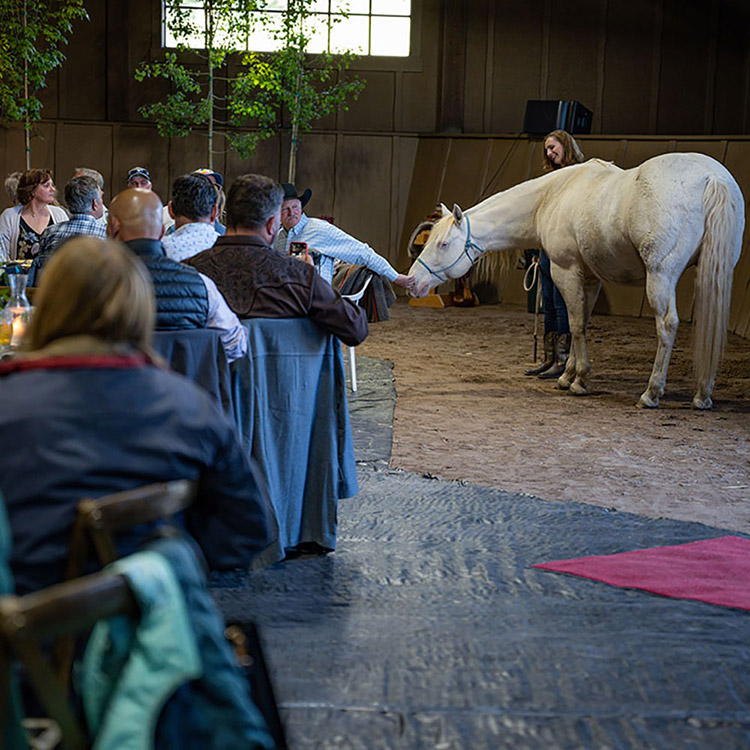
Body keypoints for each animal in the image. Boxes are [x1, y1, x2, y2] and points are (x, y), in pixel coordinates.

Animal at [412, 153, 748, 412]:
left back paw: (651, 393)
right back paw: (702, 394)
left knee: (667, 325)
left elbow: (573, 324)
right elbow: (581, 323)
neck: (553, 196)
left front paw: (580, 380)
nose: (413, 281)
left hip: (661, 275)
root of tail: (711, 178)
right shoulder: (590, 278)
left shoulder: (566, 271)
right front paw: (568, 376)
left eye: (442, 243)